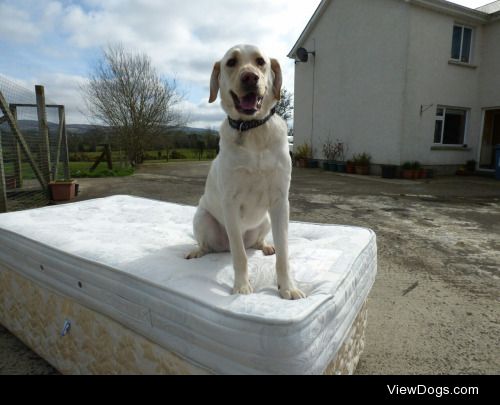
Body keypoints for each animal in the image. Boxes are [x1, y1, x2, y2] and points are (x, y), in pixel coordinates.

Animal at [187, 45, 306, 300]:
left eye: (260, 62)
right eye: (231, 62)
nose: (250, 77)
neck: (252, 131)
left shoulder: (280, 202)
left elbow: (284, 254)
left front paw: (287, 287)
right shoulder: (230, 202)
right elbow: (239, 255)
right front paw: (241, 286)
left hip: (265, 221)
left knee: (254, 243)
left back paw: (265, 246)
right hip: (202, 218)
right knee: (214, 245)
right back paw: (197, 251)